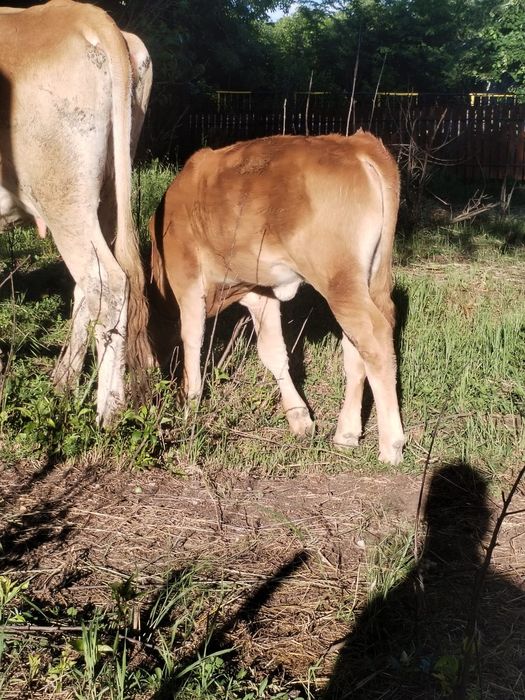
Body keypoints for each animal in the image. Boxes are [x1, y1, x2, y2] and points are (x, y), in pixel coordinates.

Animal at [0, 0, 152, 425]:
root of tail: (80, 12)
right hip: (107, 190)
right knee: (94, 285)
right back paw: (65, 381)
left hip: (62, 194)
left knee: (107, 283)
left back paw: (108, 413)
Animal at [149, 132, 406, 465]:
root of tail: (355, 144)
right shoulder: (260, 291)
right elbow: (273, 352)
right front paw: (299, 417)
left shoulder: (187, 276)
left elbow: (192, 340)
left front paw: (188, 407)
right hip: (366, 280)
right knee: (356, 347)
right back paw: (346, 434)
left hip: (339, 280)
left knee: (373, 337)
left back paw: (390, 444)